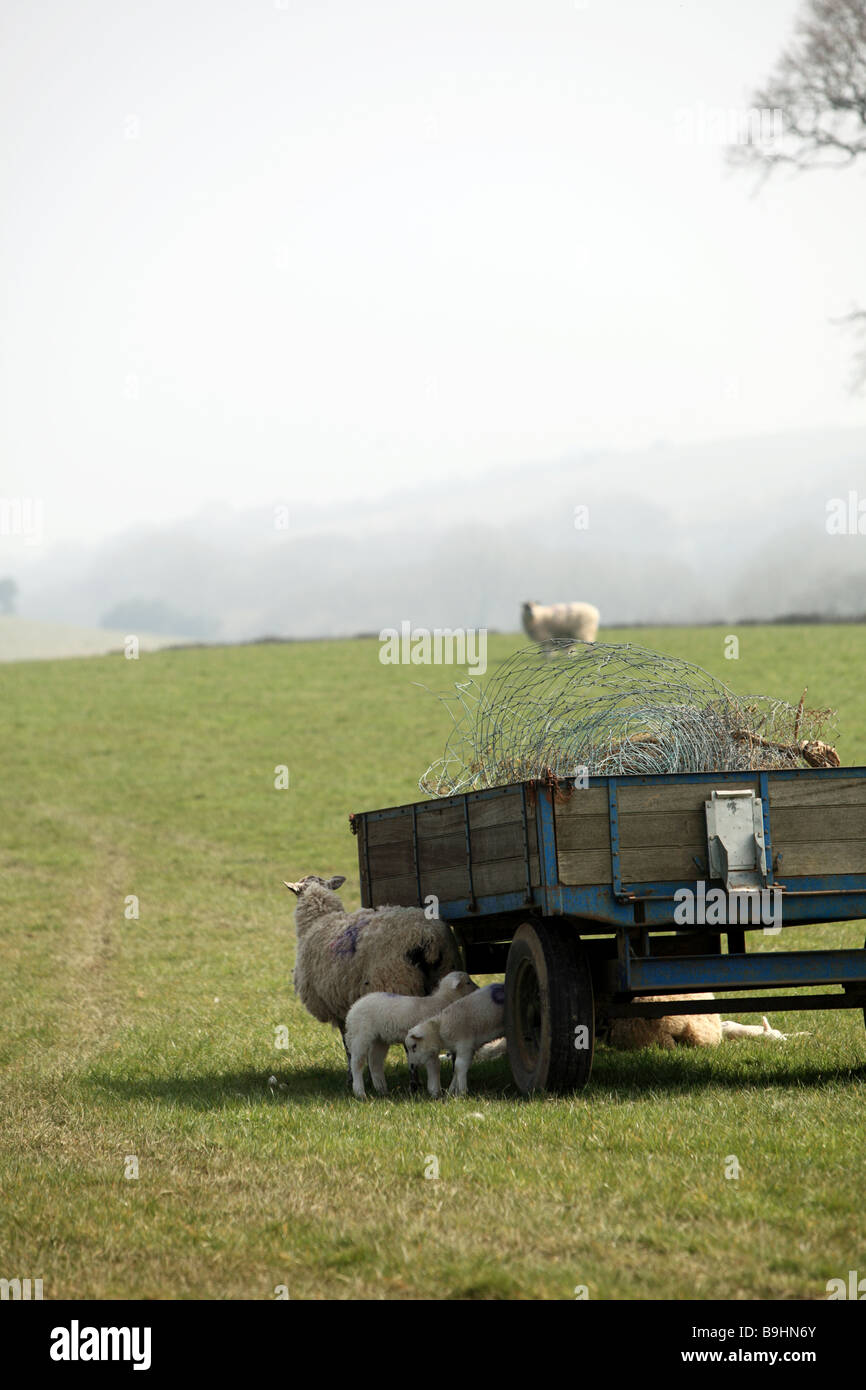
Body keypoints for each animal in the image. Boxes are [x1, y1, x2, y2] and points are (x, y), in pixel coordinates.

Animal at [284, 873, 463, 1086]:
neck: (319, 921)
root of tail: (428, 937)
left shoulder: (339, 1008)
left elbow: (348, 1045)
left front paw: (352, 1078)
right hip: (445, 975)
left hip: (398, 984)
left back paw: (414, 1084)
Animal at [345, 970, 478, 1098]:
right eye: (468, 982)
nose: (478, 989)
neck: (443, 1000)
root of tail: (352, 1009)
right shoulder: (427, 1039)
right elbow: (435, 1065)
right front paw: (436, 1091)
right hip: (361, 1034)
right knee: (357, 1062)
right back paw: (360, 1092)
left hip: (380, 1039)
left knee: (374, 1062)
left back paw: (382, 1090)